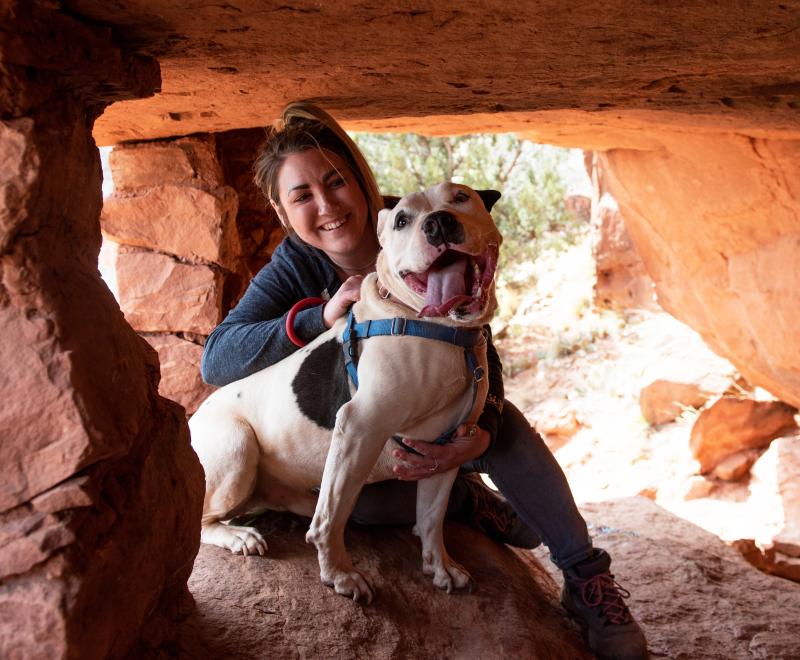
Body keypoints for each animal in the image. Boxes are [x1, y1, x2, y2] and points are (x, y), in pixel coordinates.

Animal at [188, 182, 500, 604]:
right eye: (402, 220)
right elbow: (330, 519)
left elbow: (431, 517)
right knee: (203, 520)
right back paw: (238, 536)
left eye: (461, 197)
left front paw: (440, 566)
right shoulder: (359, 427)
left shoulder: (448, 445)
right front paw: (339, 574)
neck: (439, 330)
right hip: (237, 446)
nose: (438, 224)